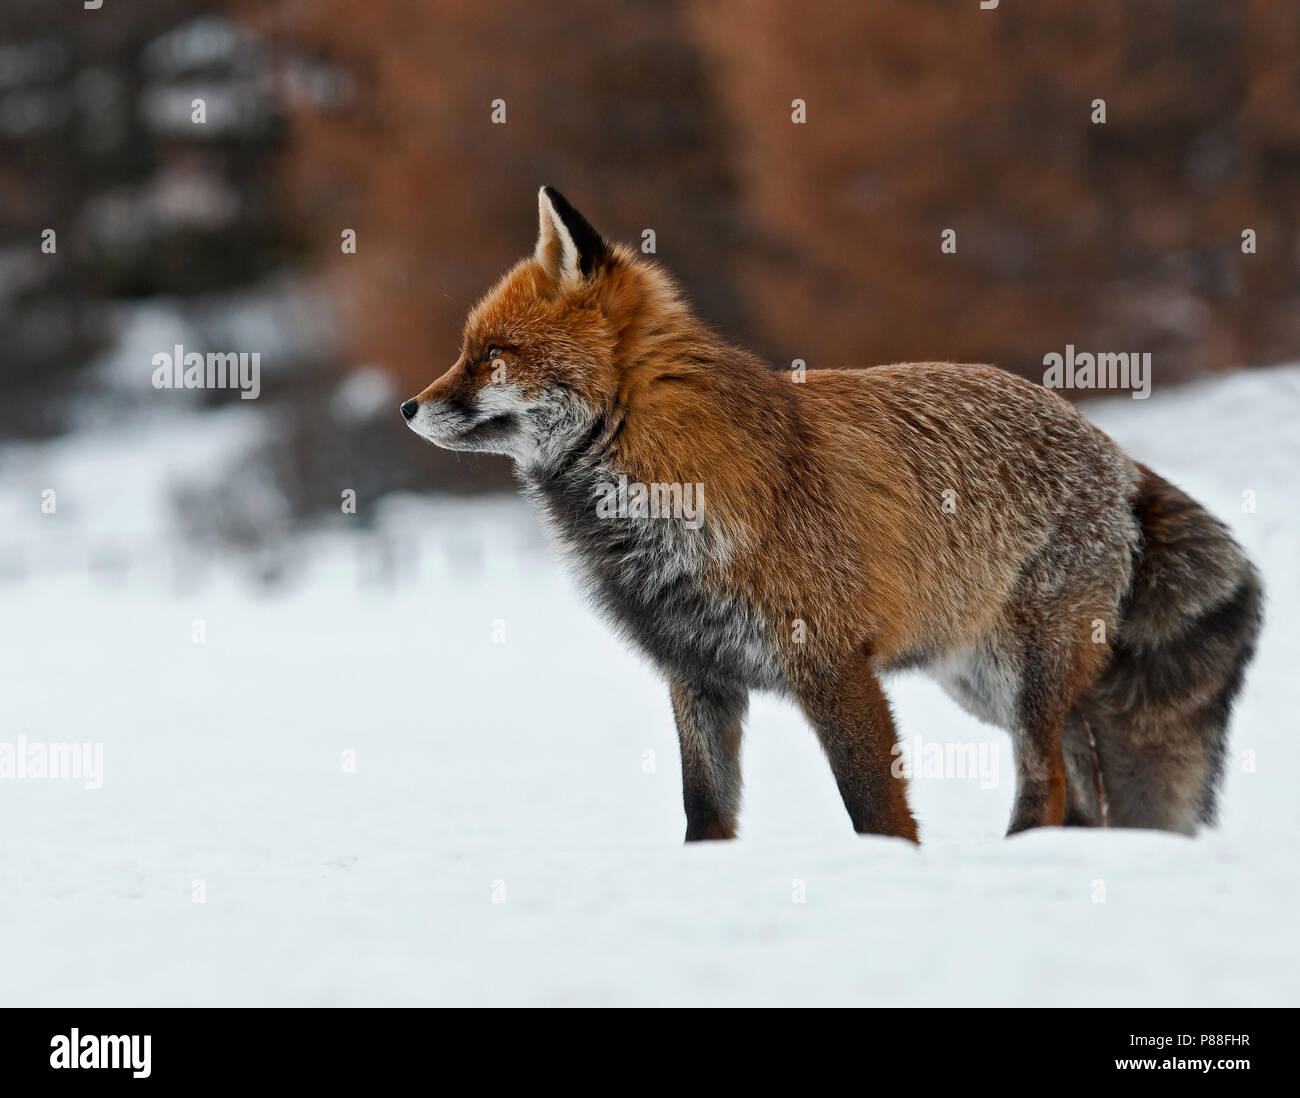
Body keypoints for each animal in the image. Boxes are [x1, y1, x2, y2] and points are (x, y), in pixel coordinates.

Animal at [403, 185, 1258, 842]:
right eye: (468, 348)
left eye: (492, 355)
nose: (409, 408)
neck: (661, 483)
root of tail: (1112, 451)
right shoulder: (696, 673)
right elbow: (704, 814)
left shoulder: (833, 662)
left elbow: (875, 809)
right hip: (981, 682)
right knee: (1080, 790)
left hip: (1025, 677)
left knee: (1047, 784)